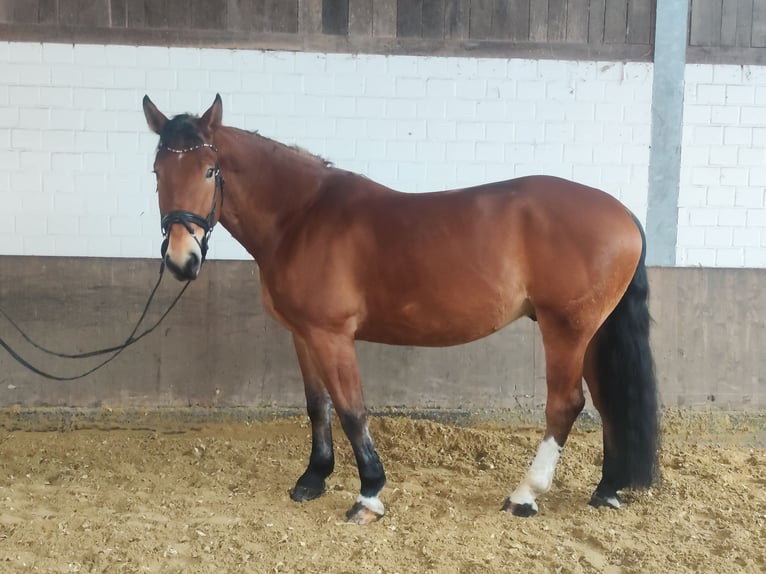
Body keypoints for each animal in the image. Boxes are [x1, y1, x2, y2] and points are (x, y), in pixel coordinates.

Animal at [142, 91, 660, 528]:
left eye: (210, 171)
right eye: (157, 173)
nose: (182, 260)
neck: (301, 217)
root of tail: (624, 213)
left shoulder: (332, 335)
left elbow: (352, 410)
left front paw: (368, 494)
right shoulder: (303, 334)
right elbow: (317, 406)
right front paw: (313, 478)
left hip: (566, 329)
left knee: (566, 405)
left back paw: (525, 495)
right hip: (592, 332)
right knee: (607, 401)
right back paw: (607, 489)